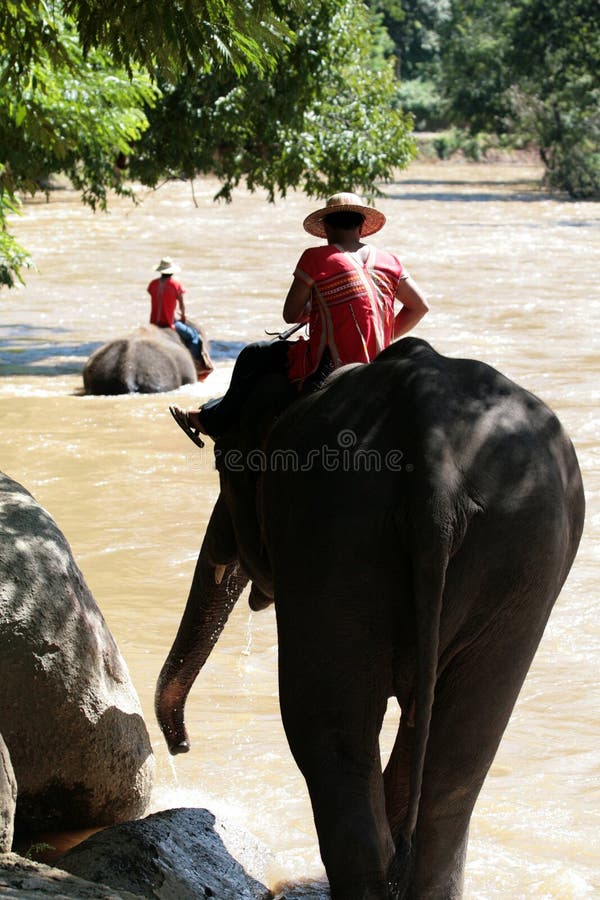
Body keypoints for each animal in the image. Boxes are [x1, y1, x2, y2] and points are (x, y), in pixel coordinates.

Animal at [154, 340, 580, 900]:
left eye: (226, 461)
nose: (181, 746)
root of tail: (435, 468)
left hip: (346, 535)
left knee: (327, 737)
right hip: (516, 559)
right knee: (452, 771)